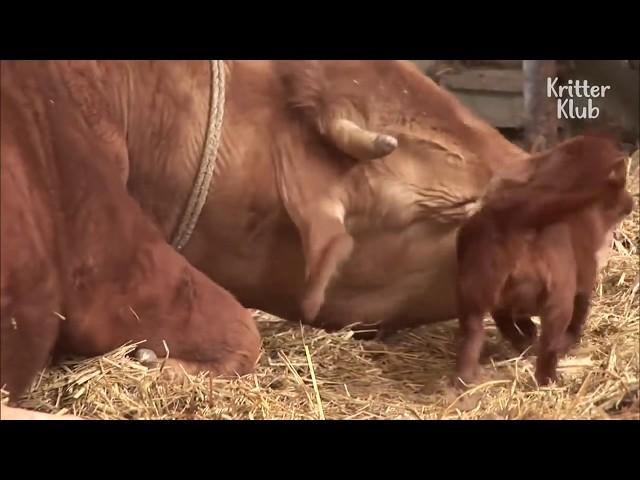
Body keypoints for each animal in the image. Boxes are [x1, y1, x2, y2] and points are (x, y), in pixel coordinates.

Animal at [452, 134, 632, 386]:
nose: (631, 203)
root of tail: (515, 220)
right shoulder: (585, 275)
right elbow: (580, 313)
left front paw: (527, 333)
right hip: (558, 300)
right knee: (549, 345)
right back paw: (548, 378)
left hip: (473, 296)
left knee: (477, 333)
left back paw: (466, 378)